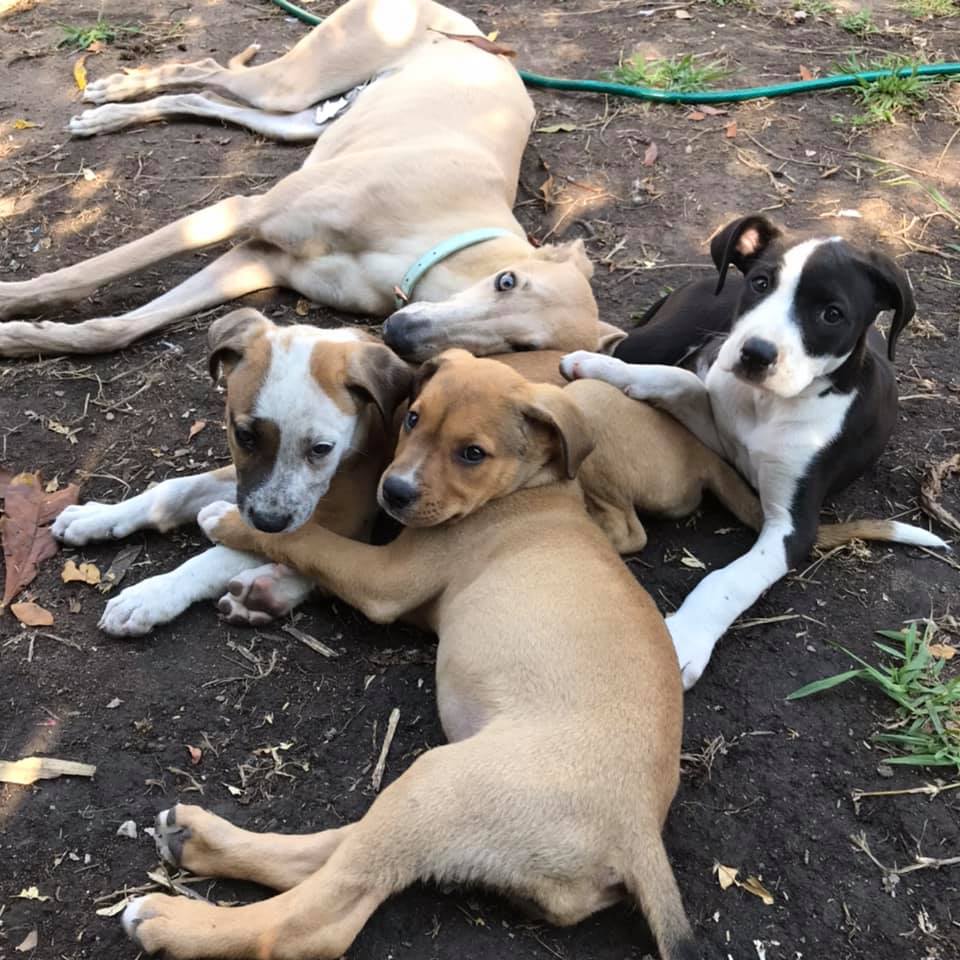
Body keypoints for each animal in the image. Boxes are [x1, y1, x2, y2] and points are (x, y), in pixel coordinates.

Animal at [0, 0, 624, 360]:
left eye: (519, 347)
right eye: (506, 281)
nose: (401, 337)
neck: (422, 244)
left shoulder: (260, 261)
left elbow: (117, 328)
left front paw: (25, 339)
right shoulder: (247, 211)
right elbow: (85, 273)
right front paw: (14, 301)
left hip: (304, 121)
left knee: (207, 96)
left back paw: (112, 114)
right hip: (299, 81)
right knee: (206, 69)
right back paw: (114, 93)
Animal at [118, 349, 697, 960]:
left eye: (472, 453)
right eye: (413, 418)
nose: (393, 492)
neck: (529, 492)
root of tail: (638, 837)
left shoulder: (387, 579)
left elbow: (311, 541)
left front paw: (230, 522)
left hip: (443, 782)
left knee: (318, 918)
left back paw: (171, 920)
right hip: (447, 808)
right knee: (341, 853)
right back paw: (197, 839)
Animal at [562, 214, 950, 689]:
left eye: (832, 314)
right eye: (762, 283)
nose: (756, 353)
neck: (768, 406)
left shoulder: (792, 526)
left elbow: (729, 581)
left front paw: (684, 640)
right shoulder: (720, 432)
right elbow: (681, 381)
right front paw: (600, 368)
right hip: (664, 334)